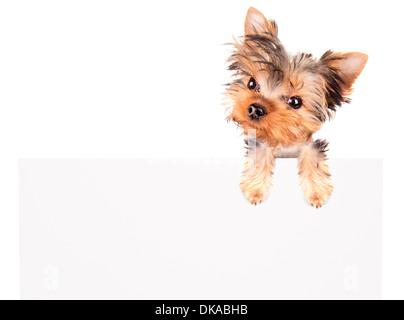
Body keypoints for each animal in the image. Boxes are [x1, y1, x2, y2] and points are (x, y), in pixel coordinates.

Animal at [226, 8, 368, 208]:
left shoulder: (310, 145)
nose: (255, 109)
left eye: (295, 102)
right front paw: (255, 189)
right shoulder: (261, 143)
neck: (282, 140)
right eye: (252, 83)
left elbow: (313, 159)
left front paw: (316, 193)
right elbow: (259, 158)